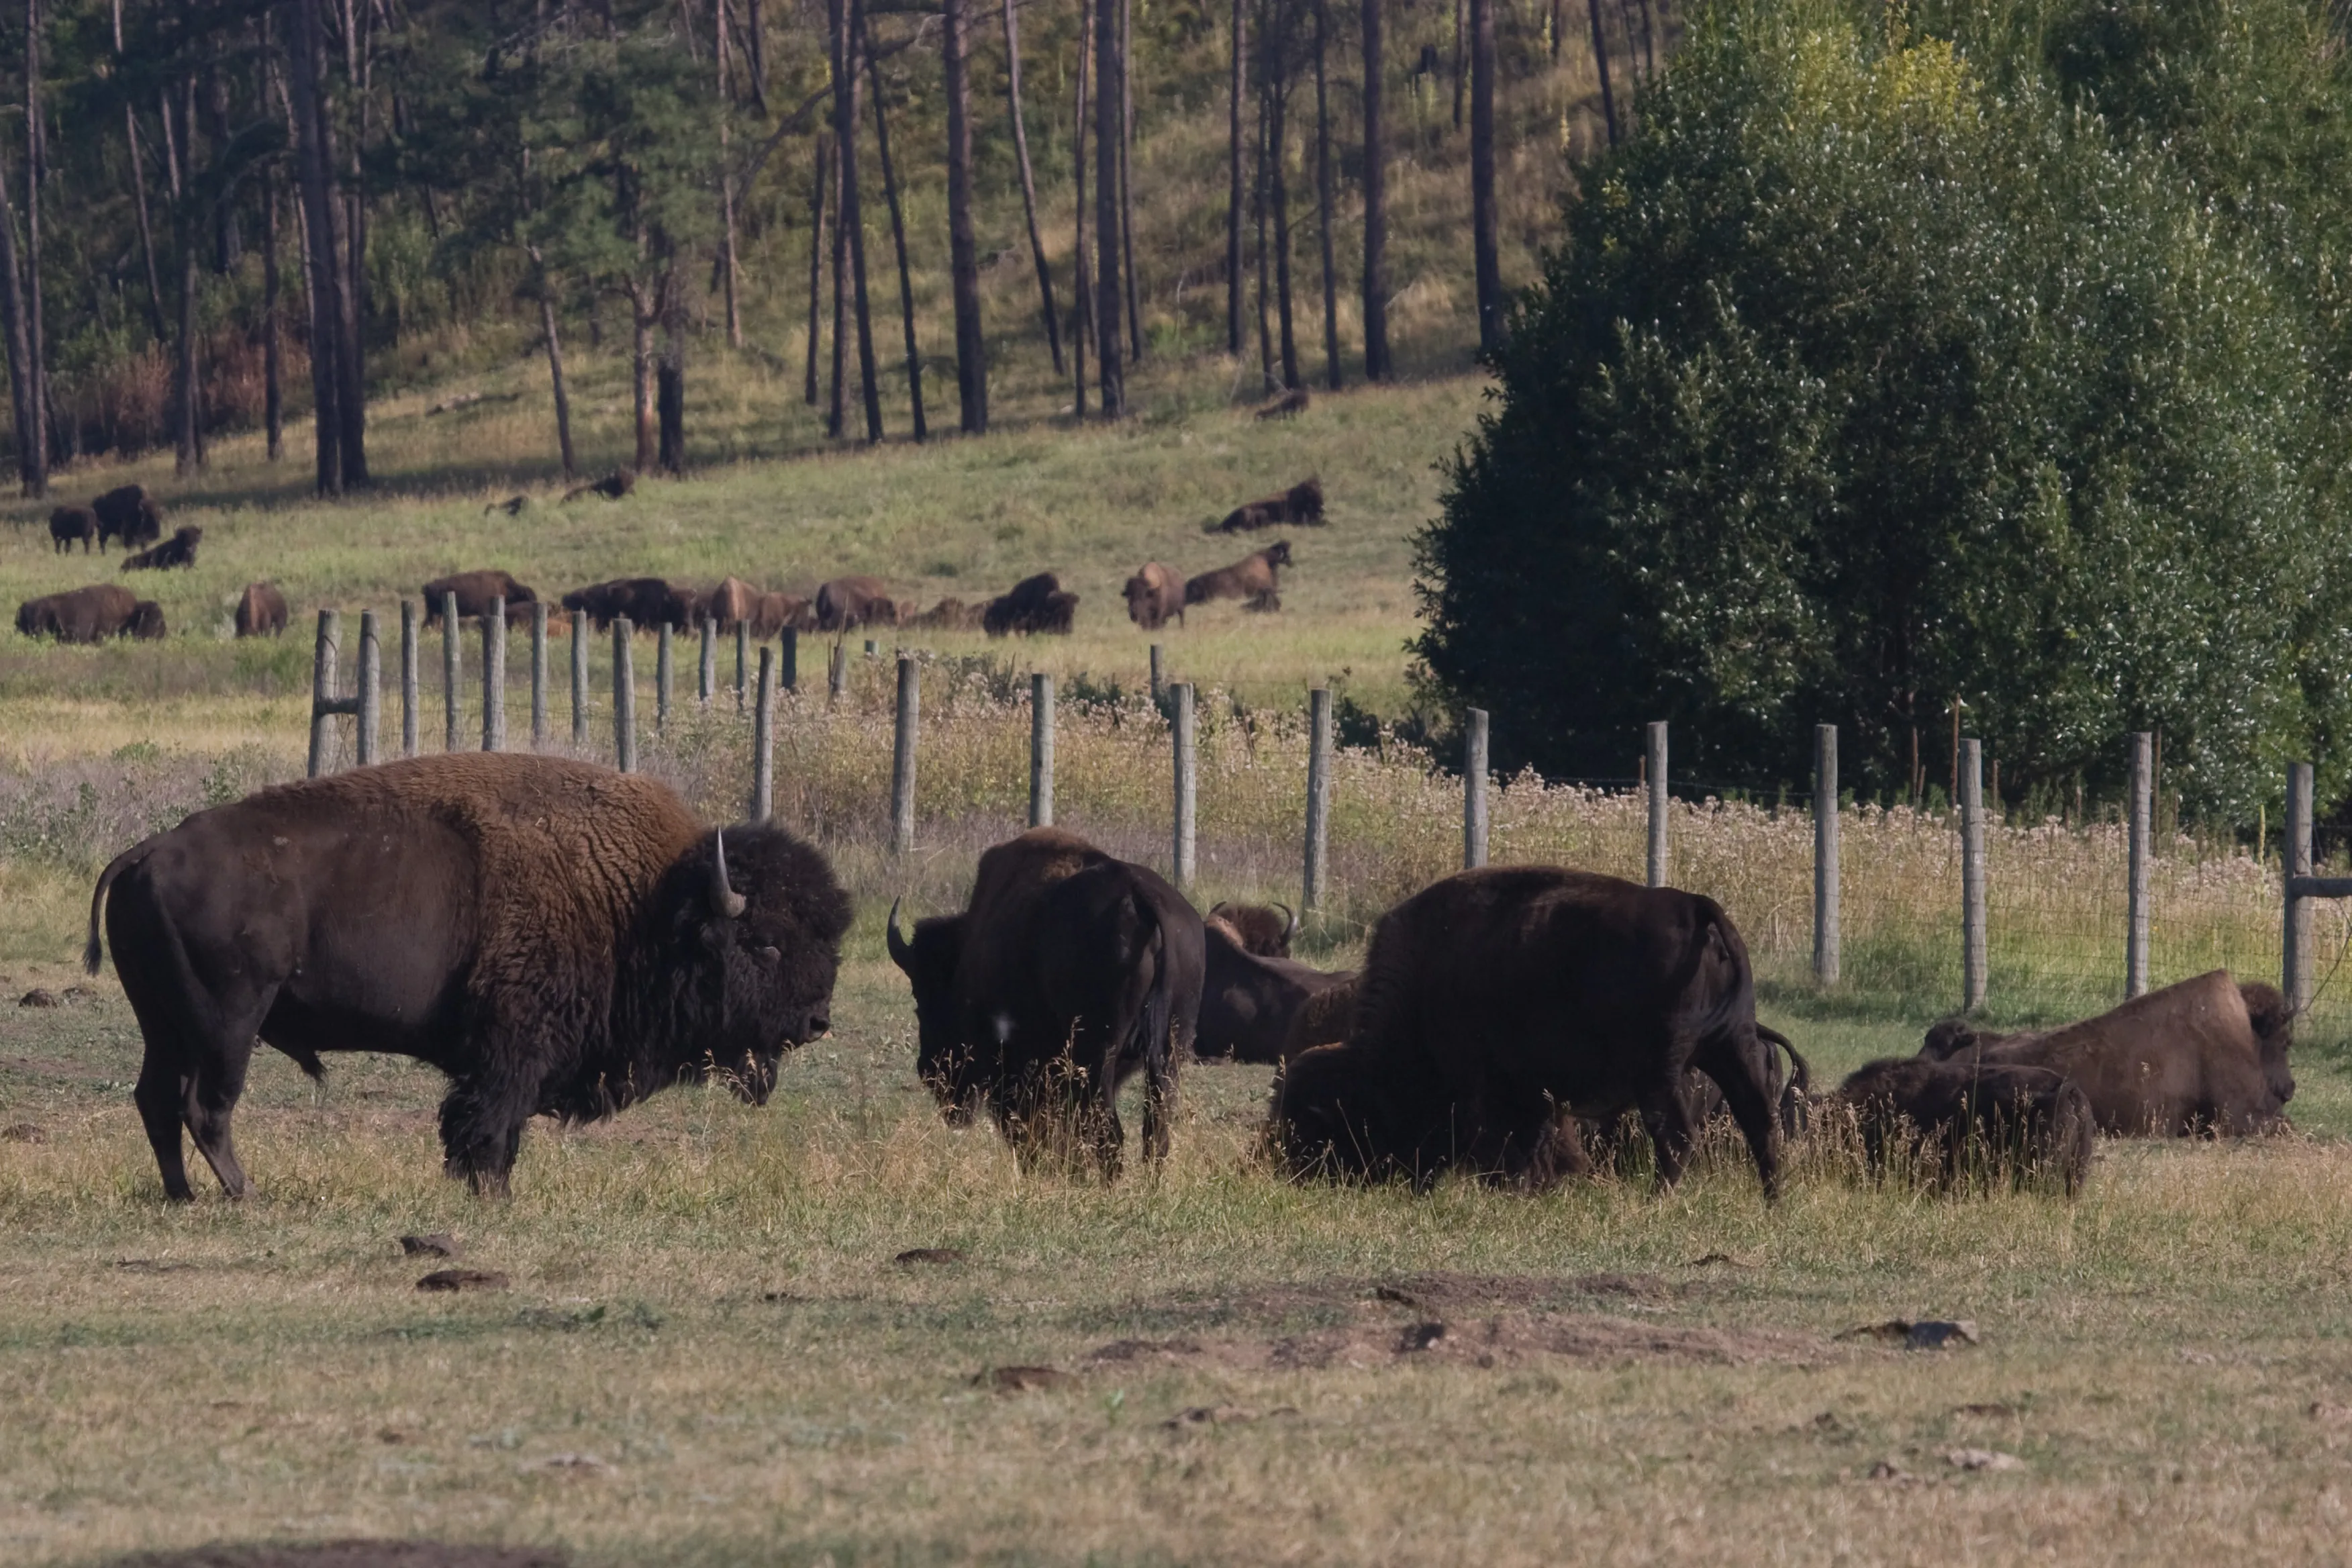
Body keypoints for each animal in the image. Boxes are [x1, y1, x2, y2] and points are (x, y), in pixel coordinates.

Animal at [86, 753, 852, 1200]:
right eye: (764, 944)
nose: (817, 1020)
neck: (646, 902)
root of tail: (146, 851)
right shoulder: (513, 1045)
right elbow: (489, 1119)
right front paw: (490, 1193)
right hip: (228, 1021)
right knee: (206, 1106)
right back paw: (245, 1194)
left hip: (165, 1023)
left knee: (156, 1100)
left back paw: (183, 1195)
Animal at [886, 828, 1204, 1176]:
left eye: (923, 997)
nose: (929, 1071)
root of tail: (1139, 897)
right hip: (1169, 1055)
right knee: (1154, 1134)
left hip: (1096, 1061)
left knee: (1110, 1134)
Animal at [1267, 867, 1787, 1196]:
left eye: (1315, 1122)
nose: (1294, 1172)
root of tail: (1696, 907)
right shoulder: (1534, 1091)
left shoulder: (1489, 1085)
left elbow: (1507, 1141)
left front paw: (1507, 1190)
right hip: (1731, 1047)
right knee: (1760, 1122)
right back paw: (1772, 1200)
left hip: (1661, 1071)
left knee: (1677, 1137)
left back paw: (1657, 1200)